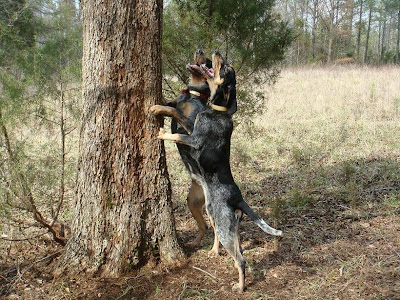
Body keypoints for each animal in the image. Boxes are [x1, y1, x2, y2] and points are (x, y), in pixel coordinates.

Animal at [155, 50, 282, 292]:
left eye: (224, 68)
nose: (215, 52)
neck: (216, 110)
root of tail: (238, 198)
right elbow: (172, 105)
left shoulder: (193, 136)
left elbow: (175, 123)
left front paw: (160, 124)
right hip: (213, 215)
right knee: (223, 239)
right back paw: (211, 251)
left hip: (222, 223)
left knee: (240, 258)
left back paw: (240, 286)